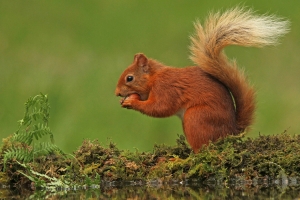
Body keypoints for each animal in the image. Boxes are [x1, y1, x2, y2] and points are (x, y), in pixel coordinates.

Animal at [114, 7, 288, 152]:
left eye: (129, 78)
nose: (116, 93)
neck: (155, 77)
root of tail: (230, 133)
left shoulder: (166, 88)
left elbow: (160, 108)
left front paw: (132, 102)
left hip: (196, 118)